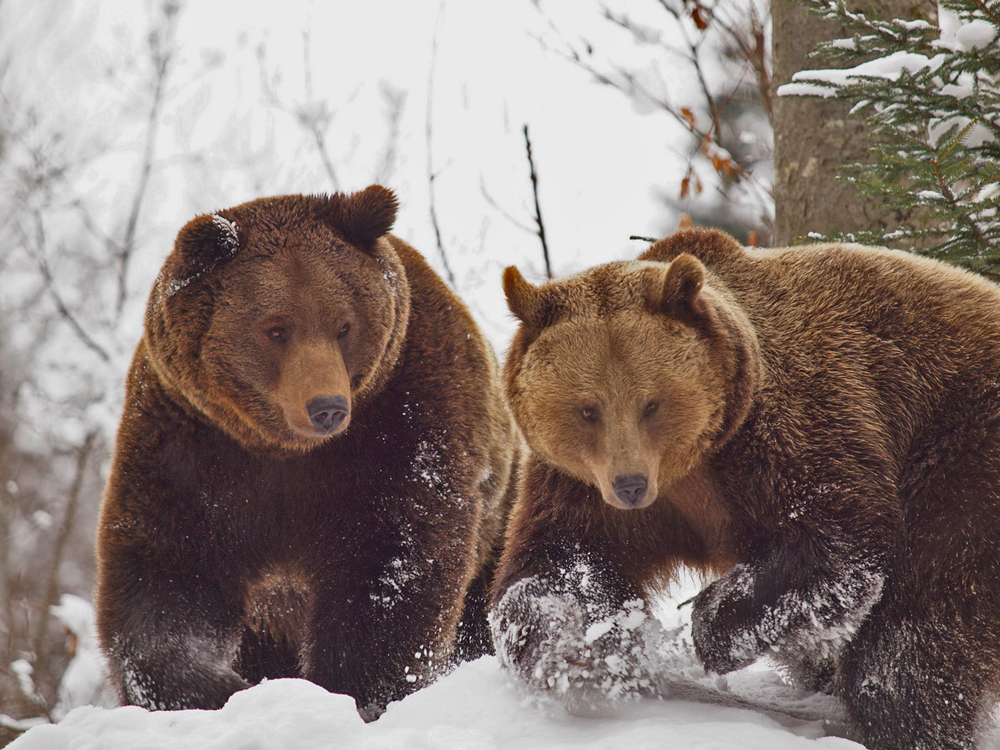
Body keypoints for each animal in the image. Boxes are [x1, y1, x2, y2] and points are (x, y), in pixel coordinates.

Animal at [94, 187, 520, 724]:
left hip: (503, 518)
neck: (283, 449)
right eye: (276, 328)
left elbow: (392, 567)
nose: (327, 407)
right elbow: (168, 574)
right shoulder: (190, 444)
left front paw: (349, 691)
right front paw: (215, 689)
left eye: (344, 325)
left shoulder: (407, 422)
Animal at [494, 229, 1000, 750]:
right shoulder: (582, 488)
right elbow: (560, 564)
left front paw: (709, 629)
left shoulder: (793, 430)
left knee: (913, 638)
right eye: (587, 409)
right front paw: (581, 646)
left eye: (651, 403)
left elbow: (839, 542)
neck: (694, 464)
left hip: (960, 452)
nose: (630, 485)